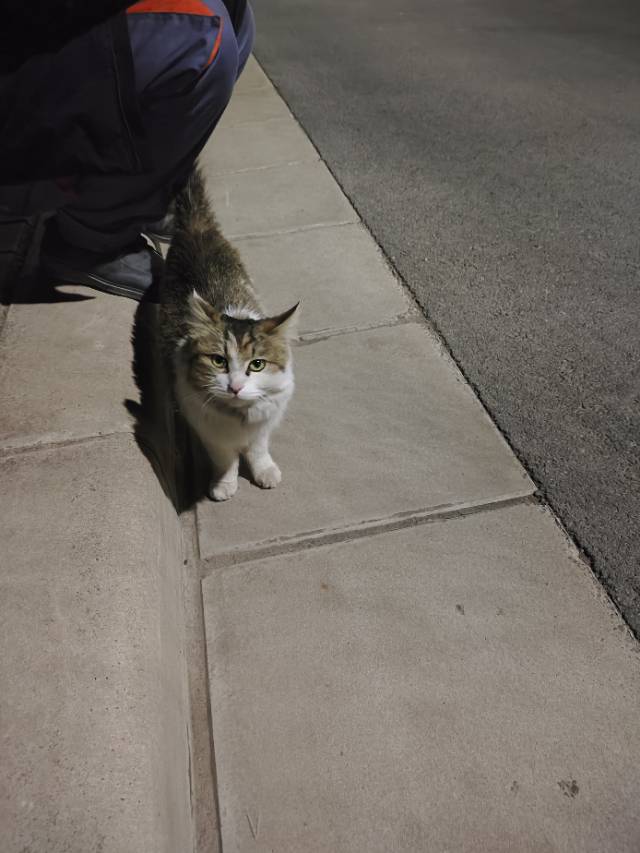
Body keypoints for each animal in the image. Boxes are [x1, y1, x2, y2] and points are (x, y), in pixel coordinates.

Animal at [160, 166, 300, 500]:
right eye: (218, 361)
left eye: (257, 364)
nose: (235, 387)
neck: (240, 416)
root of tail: (196, 226)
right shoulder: (206, 428)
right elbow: (225, 459)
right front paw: (225, 484)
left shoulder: (265, 421)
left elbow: (259, 449)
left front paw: (264, 471)